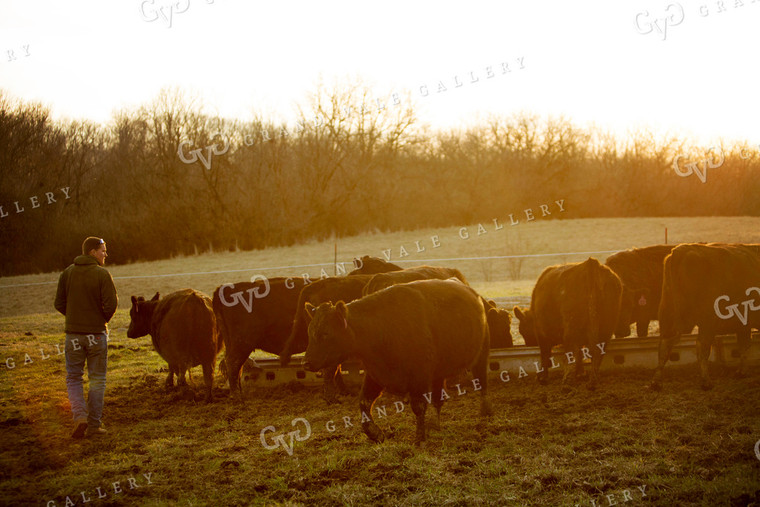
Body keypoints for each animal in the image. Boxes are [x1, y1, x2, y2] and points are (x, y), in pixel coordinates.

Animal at [302, 280, 492, 446]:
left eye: (326, 333)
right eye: (310, 331)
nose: (306, 362)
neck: (381, 329)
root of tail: (473, 293)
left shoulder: (419, 378)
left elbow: (418, 406)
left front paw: (419, 439)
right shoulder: (375, 374)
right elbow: (364, 402)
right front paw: (375, 433)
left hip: (481, 356)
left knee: (482, 384)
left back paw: (485, 413)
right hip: (438, 373)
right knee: (438, 399)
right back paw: (434, 425)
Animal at [510, 258, 624, 388]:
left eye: (523, 331)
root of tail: (590, 264)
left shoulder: (541, 334)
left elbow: (545, 354)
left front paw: (542, 377)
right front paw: (581, 373)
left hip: (571, 328)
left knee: (573, 352)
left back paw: (567, 382)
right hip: (606, 327)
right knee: (598, 352)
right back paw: (592, 381)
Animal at [652, 244, 760, 390]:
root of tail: (682, 250)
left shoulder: (743, 325)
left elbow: (744, 346)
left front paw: (742, 372)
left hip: (668, 314)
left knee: (664, 345)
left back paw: (656, 382)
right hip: (707, 321)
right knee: (702, 347)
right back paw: (706, 381)